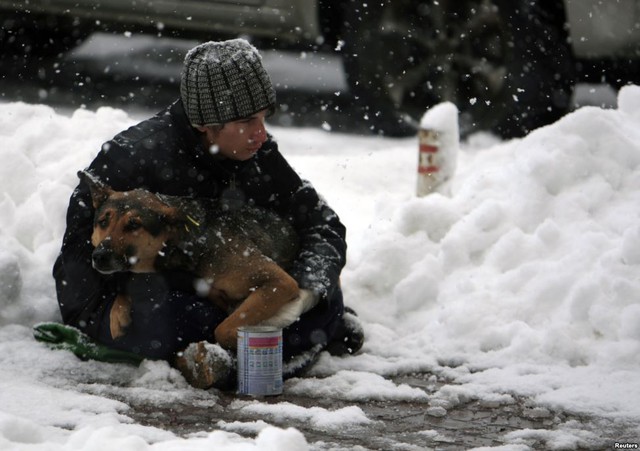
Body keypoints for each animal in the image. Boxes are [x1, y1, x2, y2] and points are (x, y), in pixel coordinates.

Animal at [77, 171, 316, 352]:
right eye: (103, 222)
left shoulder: (279, 281)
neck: (181, 245)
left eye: (134, 225)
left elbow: (223, 330)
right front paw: (118, 313)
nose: (99, 256)